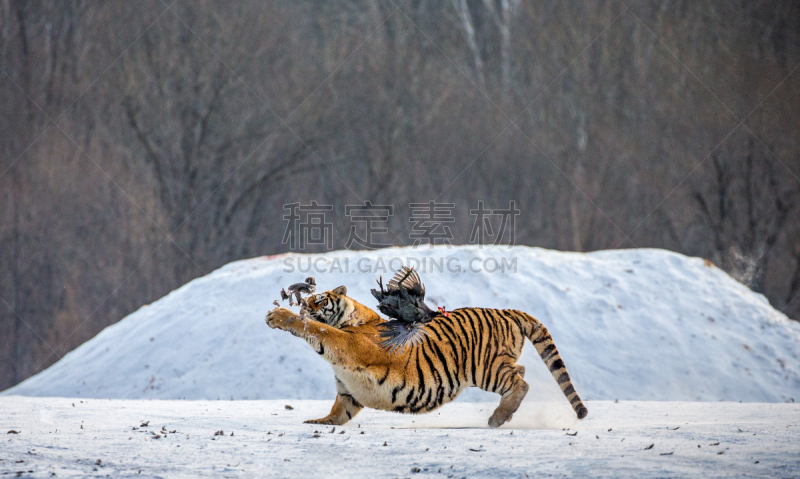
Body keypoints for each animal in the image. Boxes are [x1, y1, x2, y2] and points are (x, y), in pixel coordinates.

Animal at [266, 284, 584, 428]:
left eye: (318, 300)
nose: (303, 304)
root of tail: (507, 311)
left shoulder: (348, 346)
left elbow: (317, 330)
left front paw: (280, 316)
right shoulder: (349, 390)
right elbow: (338, 412)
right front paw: (319, 423)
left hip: (484, 368)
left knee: (520, 382)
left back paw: (498, 417)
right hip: (497, 364)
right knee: (521, 371)